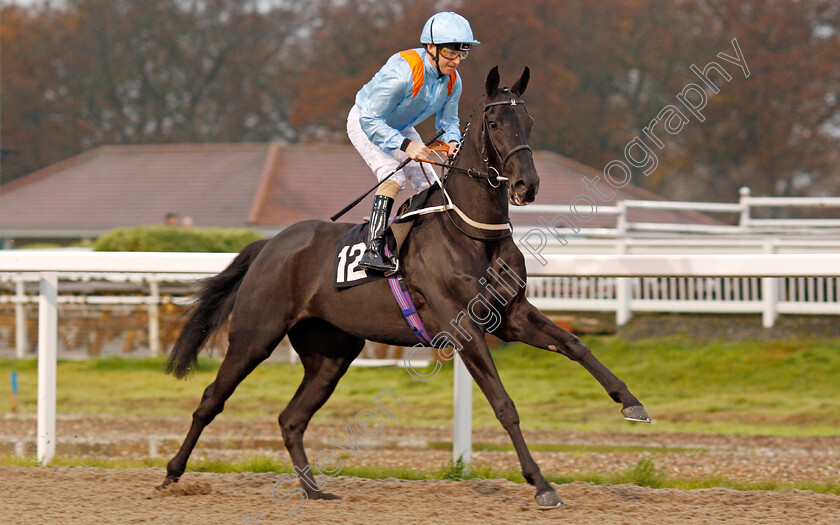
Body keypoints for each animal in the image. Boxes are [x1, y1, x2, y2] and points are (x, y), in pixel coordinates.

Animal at [161, 66, 652, 508]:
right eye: (495, 122)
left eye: (529, 121)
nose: (526, 185)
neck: (472, 231)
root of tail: (271, 245)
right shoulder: (463, 328)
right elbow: (503, 403)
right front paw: (541, 484)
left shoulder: (510, 316)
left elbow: (575, 344)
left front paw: (630, 402)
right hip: (256, 336)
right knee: (211, 400)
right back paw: (171, 474)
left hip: (331, 354)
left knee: (291, 418)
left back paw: (314, 490)